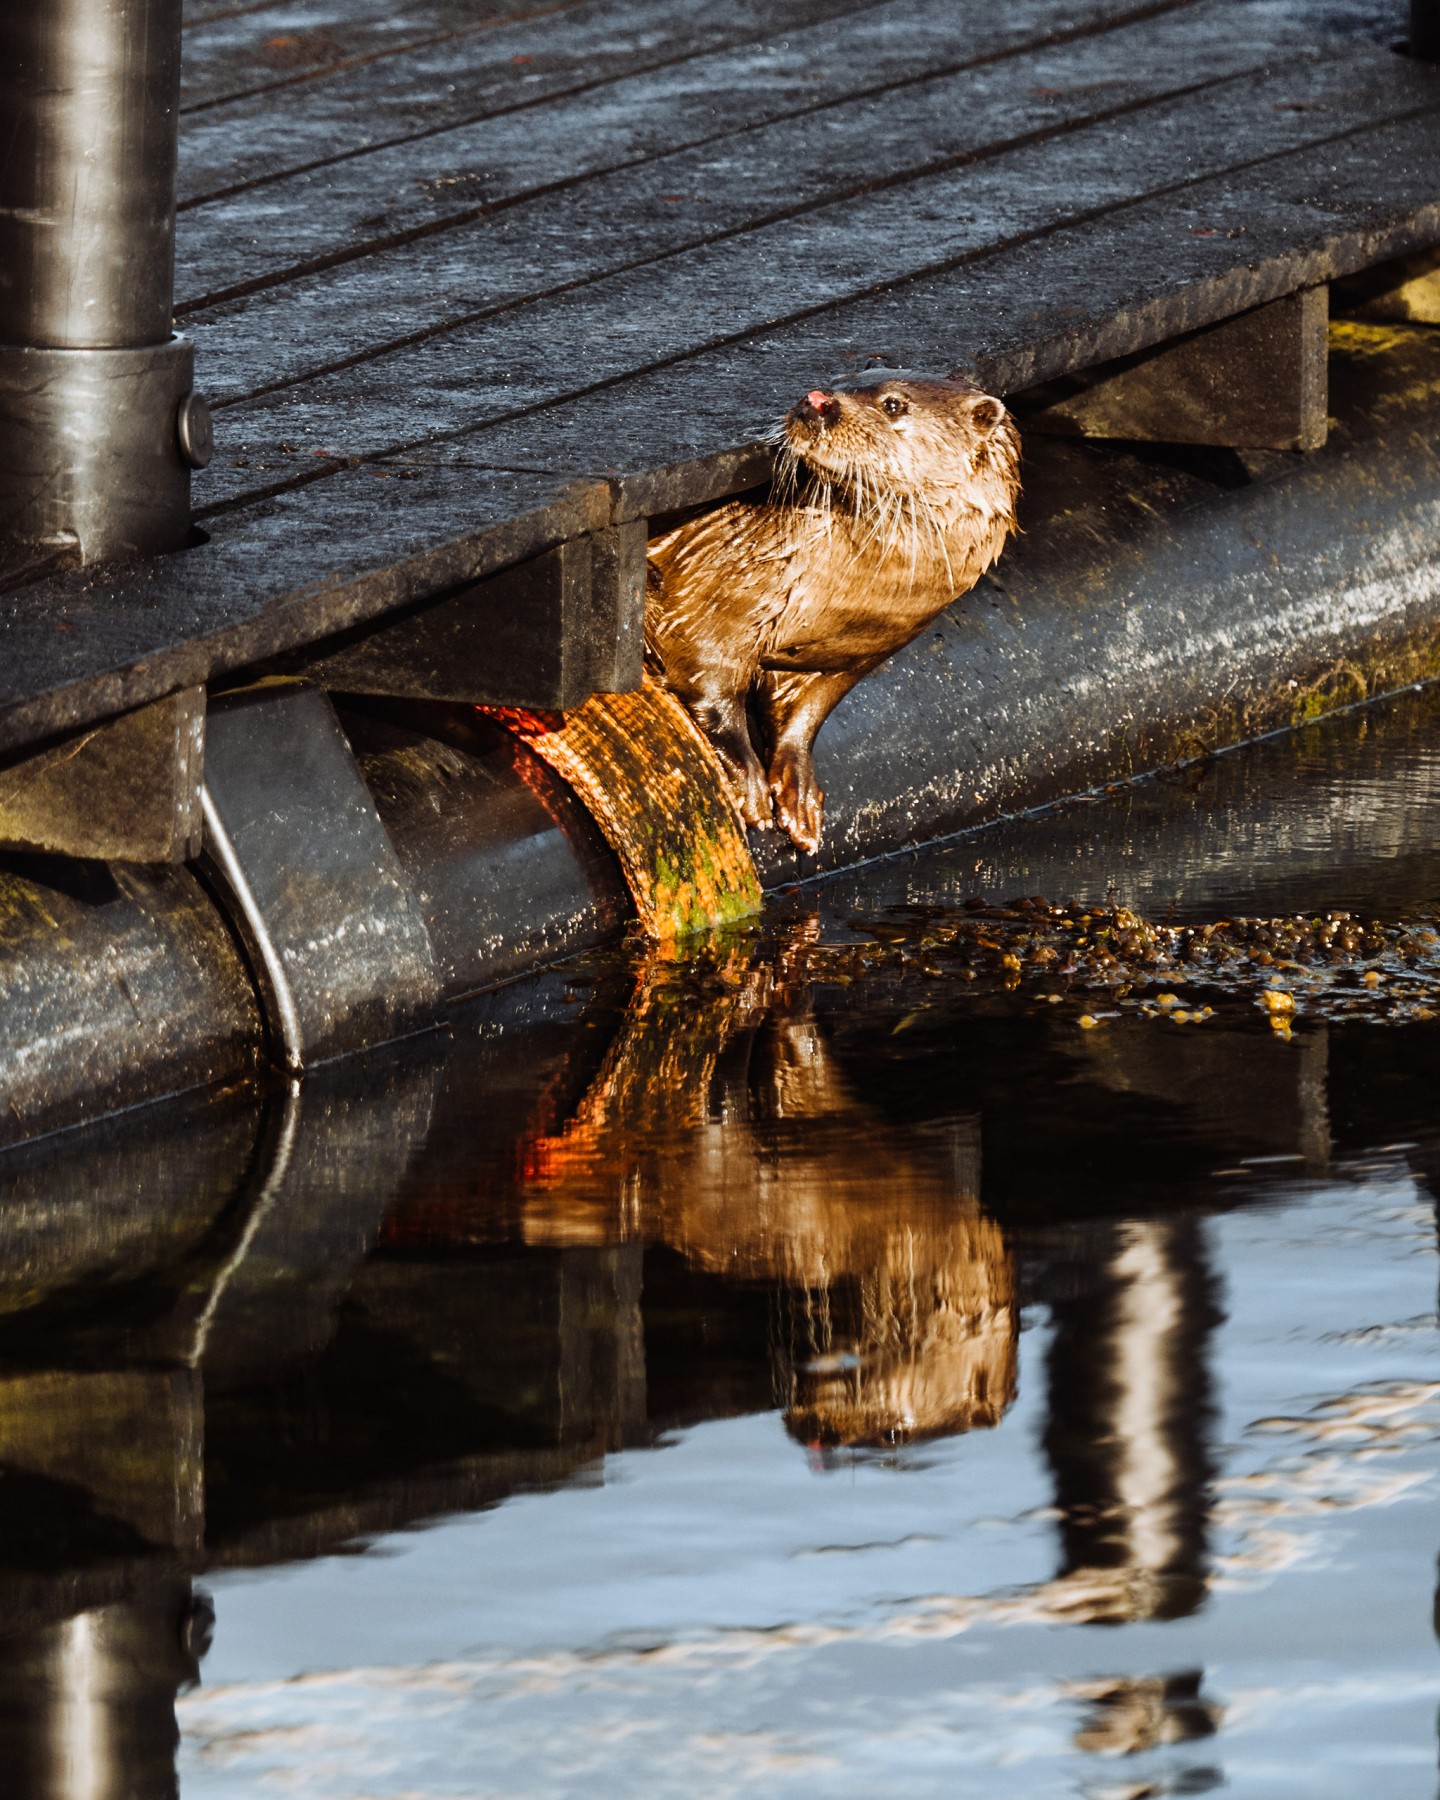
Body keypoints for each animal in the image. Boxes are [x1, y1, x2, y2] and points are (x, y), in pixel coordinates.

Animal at [645, 372, 1021, 851]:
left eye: (894, 404)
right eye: (845, 380)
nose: (817, 401)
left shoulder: (853, 656)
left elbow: (807, 711)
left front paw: (799, 795)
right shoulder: (716, 592)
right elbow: (708, 683)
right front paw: (747, 779)